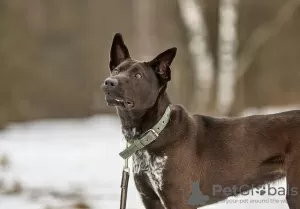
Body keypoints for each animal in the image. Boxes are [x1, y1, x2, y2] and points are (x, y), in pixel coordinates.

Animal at [101, 33, 300, 208]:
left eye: (138, 76)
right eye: (116, 71)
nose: (109, 82)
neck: (154, 132)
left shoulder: (179, 201)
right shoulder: (151, 200)